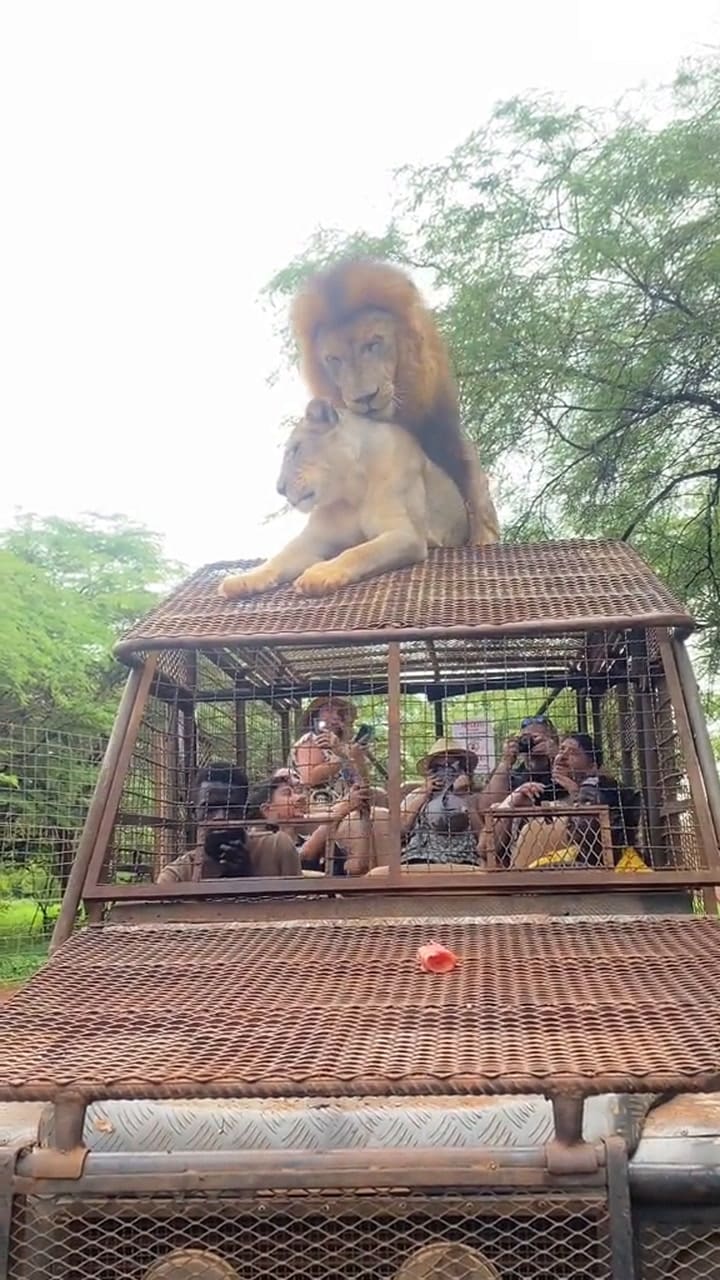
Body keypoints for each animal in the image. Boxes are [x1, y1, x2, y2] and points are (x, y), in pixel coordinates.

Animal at [218, 397, 483, 599]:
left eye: (295, 449)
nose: (279, 489)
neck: (350, 491)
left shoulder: (405, 534)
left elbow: (359, 552)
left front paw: (319, 575)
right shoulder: (313, 540)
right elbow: (279, 557)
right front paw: (243, 579)